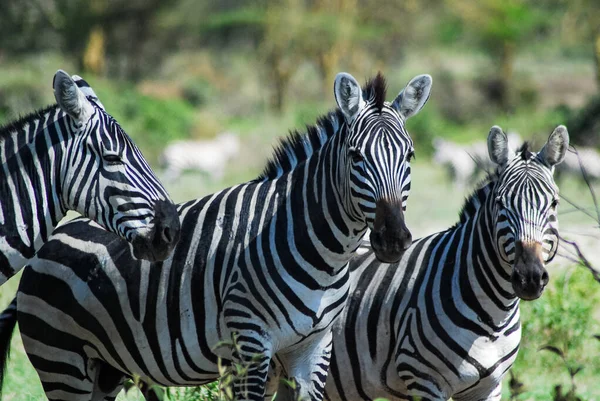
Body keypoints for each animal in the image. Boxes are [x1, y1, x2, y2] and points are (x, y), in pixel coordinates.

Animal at [310, 125, 568, 400]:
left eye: (554, 203)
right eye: (500, 203)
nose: (529, 278)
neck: (495, 314)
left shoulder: (490, 386)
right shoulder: (424, 379)